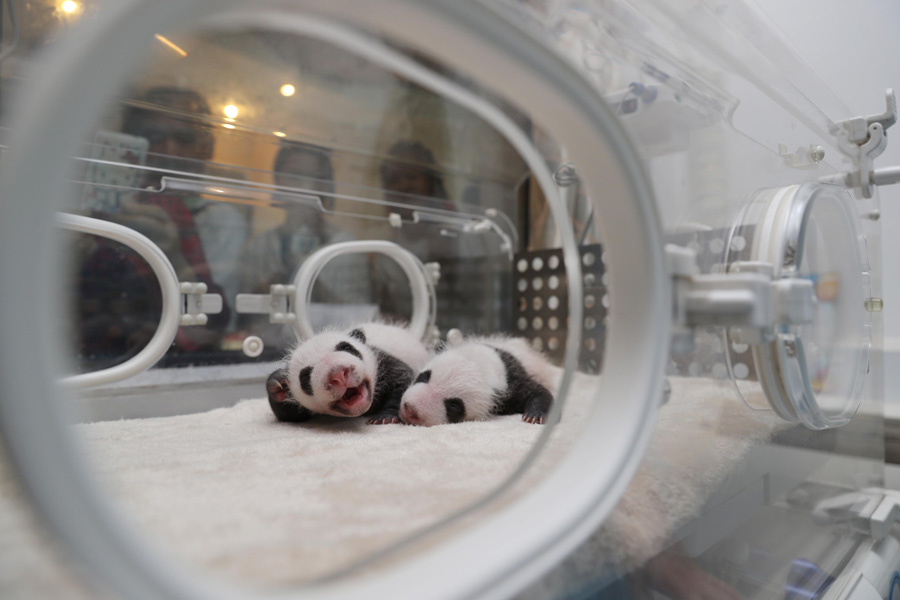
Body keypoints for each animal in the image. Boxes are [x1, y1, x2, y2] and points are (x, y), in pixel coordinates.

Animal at [266, 324, 430, 426]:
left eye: (347, 348)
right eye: (305, 377)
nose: (338, 374)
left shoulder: (382, 360)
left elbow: (402, 379)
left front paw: (385, 417)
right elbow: (290, 417)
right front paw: (278, 385)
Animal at [400, 338, 556, 426]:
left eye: (454, 405)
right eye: (425, 376)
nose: (411, 409)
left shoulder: (512, 382)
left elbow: (536, 391)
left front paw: (535, 416)